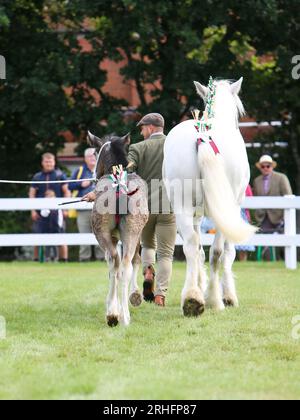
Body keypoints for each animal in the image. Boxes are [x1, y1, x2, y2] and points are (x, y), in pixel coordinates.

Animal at [163, 78, 256, 316]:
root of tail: (202, 136)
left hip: (182, 205)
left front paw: (199, 285)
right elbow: (227, 253)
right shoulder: (233, 208)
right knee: (217, 251)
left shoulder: (197, 213)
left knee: (191, 245)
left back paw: (192, 298)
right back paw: (214, 299)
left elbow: (198, 252)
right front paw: (228, 296)